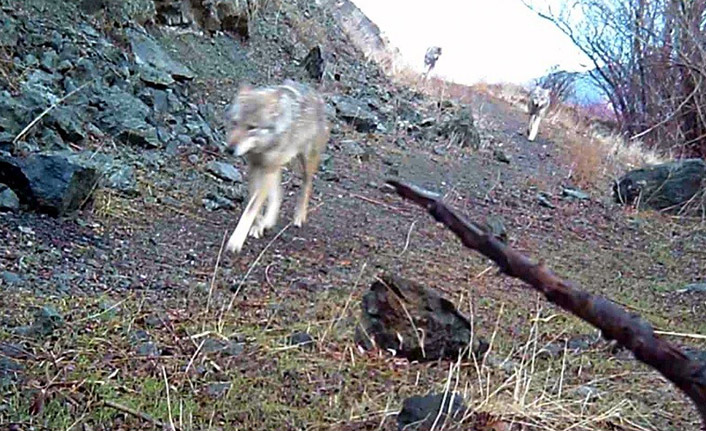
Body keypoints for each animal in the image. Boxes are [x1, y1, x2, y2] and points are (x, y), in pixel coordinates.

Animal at [223, 80, 330, 253]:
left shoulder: (266, 169)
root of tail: (317, 94)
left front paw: (236, 241)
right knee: (279, 192)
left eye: (251, 127)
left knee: (307, 185)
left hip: (305, 163)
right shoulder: (255, 166)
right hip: (275, 167)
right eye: (234, 122)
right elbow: (255, 203)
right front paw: (258, 226)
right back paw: (268, 221)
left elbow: (252, 208)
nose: (229, 149)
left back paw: (299, 216)